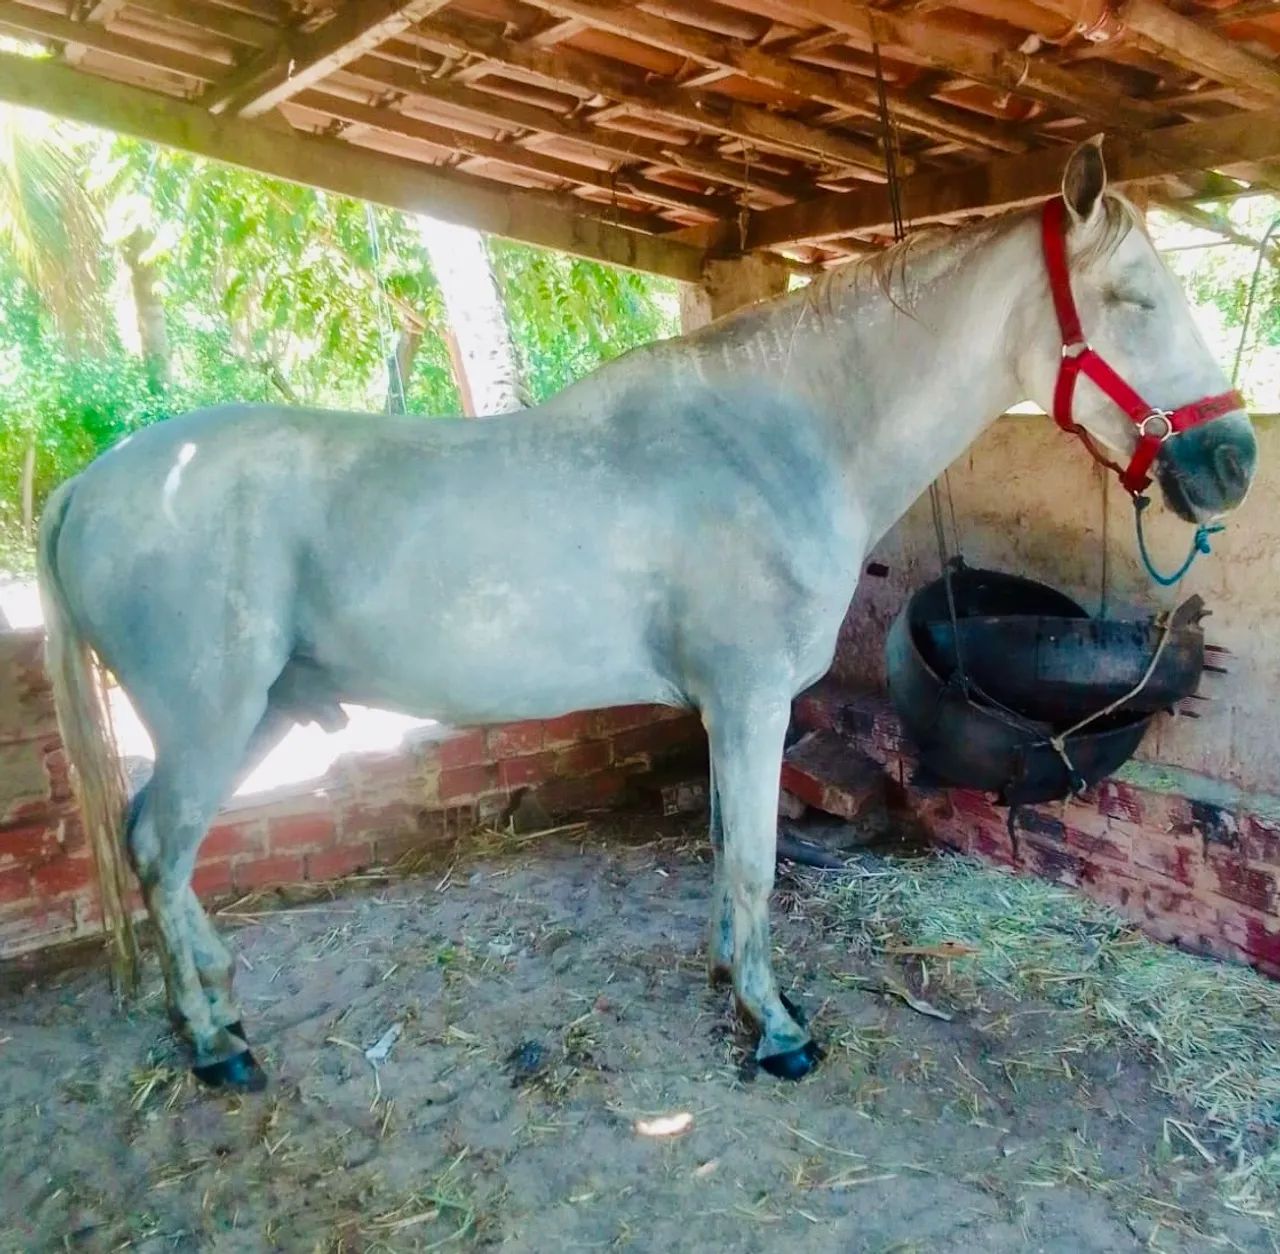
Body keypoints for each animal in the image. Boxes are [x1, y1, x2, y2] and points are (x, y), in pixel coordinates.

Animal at [37, 140, 1257, 1090]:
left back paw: (215, 1008)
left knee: (159, 847)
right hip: (212, 720)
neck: (776, 442)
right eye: (1134, 301)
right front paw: (775, 1032)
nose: (1233, 460)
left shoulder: (725, 711)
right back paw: (215, 1047)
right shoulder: (752, 702)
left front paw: (732, 983)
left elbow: (723, 847)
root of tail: (89, 485)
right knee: (162, 845)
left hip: (256, 715)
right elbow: (754, 860)